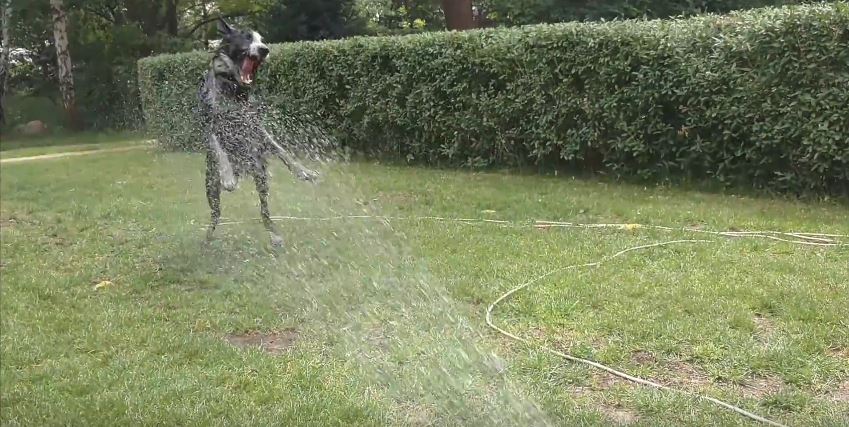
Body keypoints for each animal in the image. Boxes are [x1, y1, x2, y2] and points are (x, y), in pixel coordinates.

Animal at [198, 19, 318, 247]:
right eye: (246, 37)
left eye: (262, 40)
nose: (264, 49)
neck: (234, 90)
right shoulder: (211, 127)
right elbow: (220, 149)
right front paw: (227, 176)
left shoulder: (256, 128)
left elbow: (282, 150)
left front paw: (304, 171)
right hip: (210, 188)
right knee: (215, 214)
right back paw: (208, 236)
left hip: (261, 177)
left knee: (264, 212)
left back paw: (274, 235)